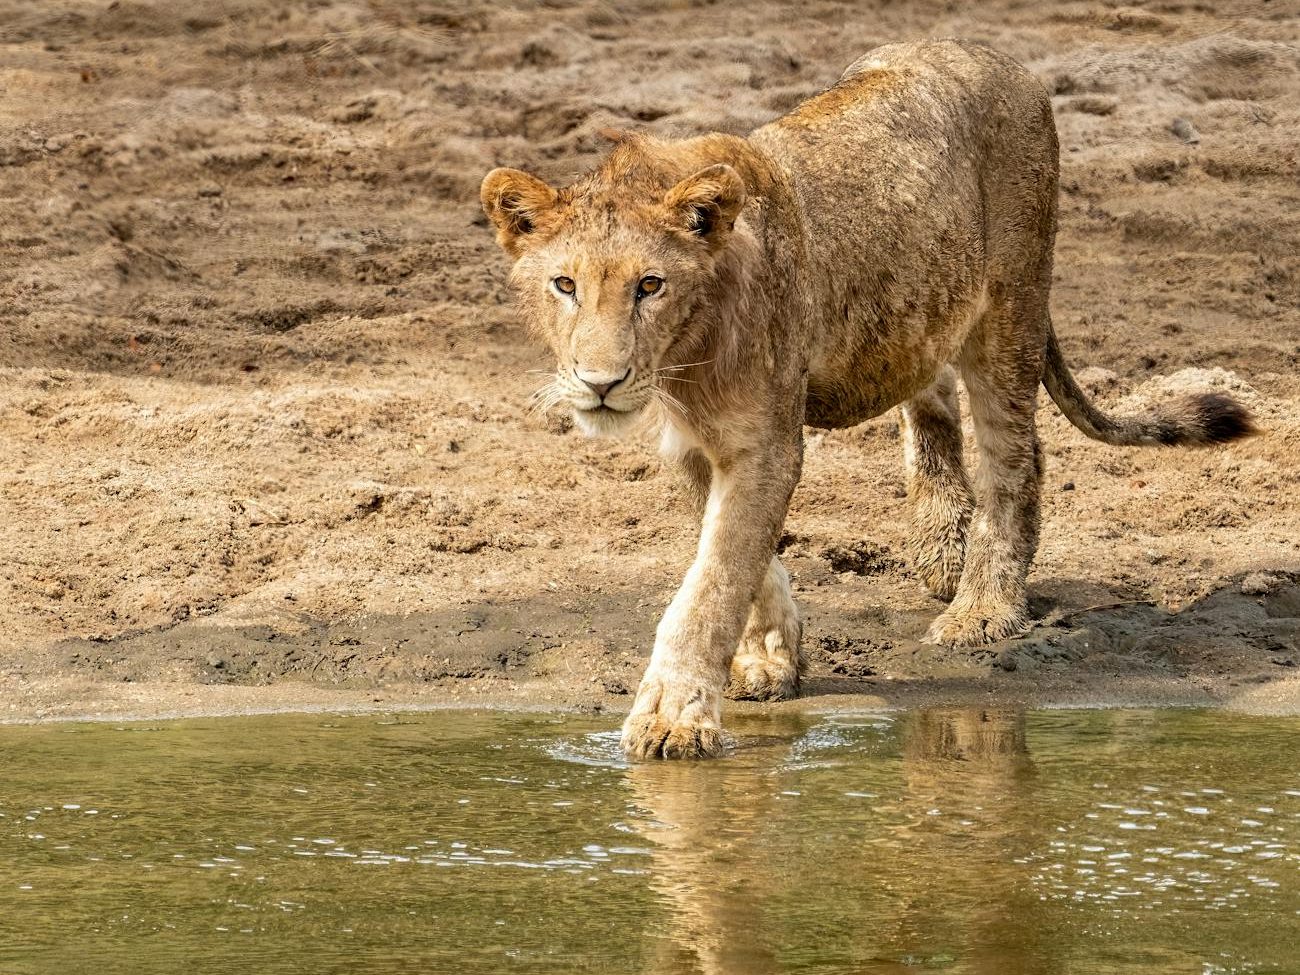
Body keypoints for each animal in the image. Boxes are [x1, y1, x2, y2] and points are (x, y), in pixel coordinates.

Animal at [480, 39, 1255, 760]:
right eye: (565, 285)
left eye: (650, 285)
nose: (599, 382)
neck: (680, 357)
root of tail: (993, 54)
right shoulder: (696, 443)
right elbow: (742, 560)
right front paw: (770, 655)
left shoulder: (764, 441)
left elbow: (713, 583)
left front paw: (674, 716)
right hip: (923, 306)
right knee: (929, 398)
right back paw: (941, 549)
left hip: (1011, 307)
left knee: (1016, 458)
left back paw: (981, 608)